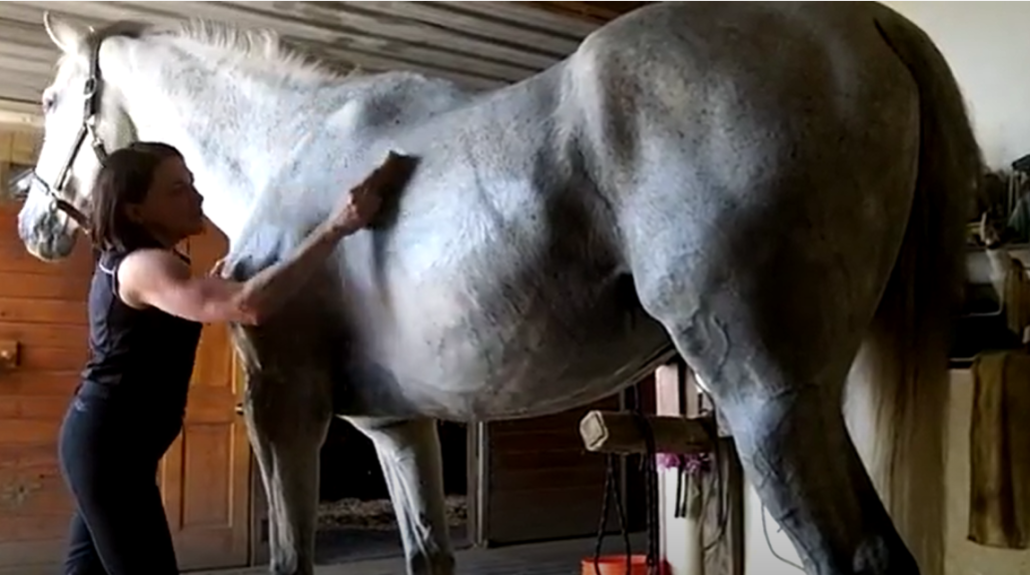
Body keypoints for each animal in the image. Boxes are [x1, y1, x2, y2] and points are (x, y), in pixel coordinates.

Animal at [14, 3, 982, 574]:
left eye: (57, 100)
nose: (33, 224)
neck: (289, 150)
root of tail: (857, 20)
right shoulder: (399, 427)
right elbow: (426, 555)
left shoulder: (284, 412)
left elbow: (292, 561)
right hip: (817, 394)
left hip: (766, 396)